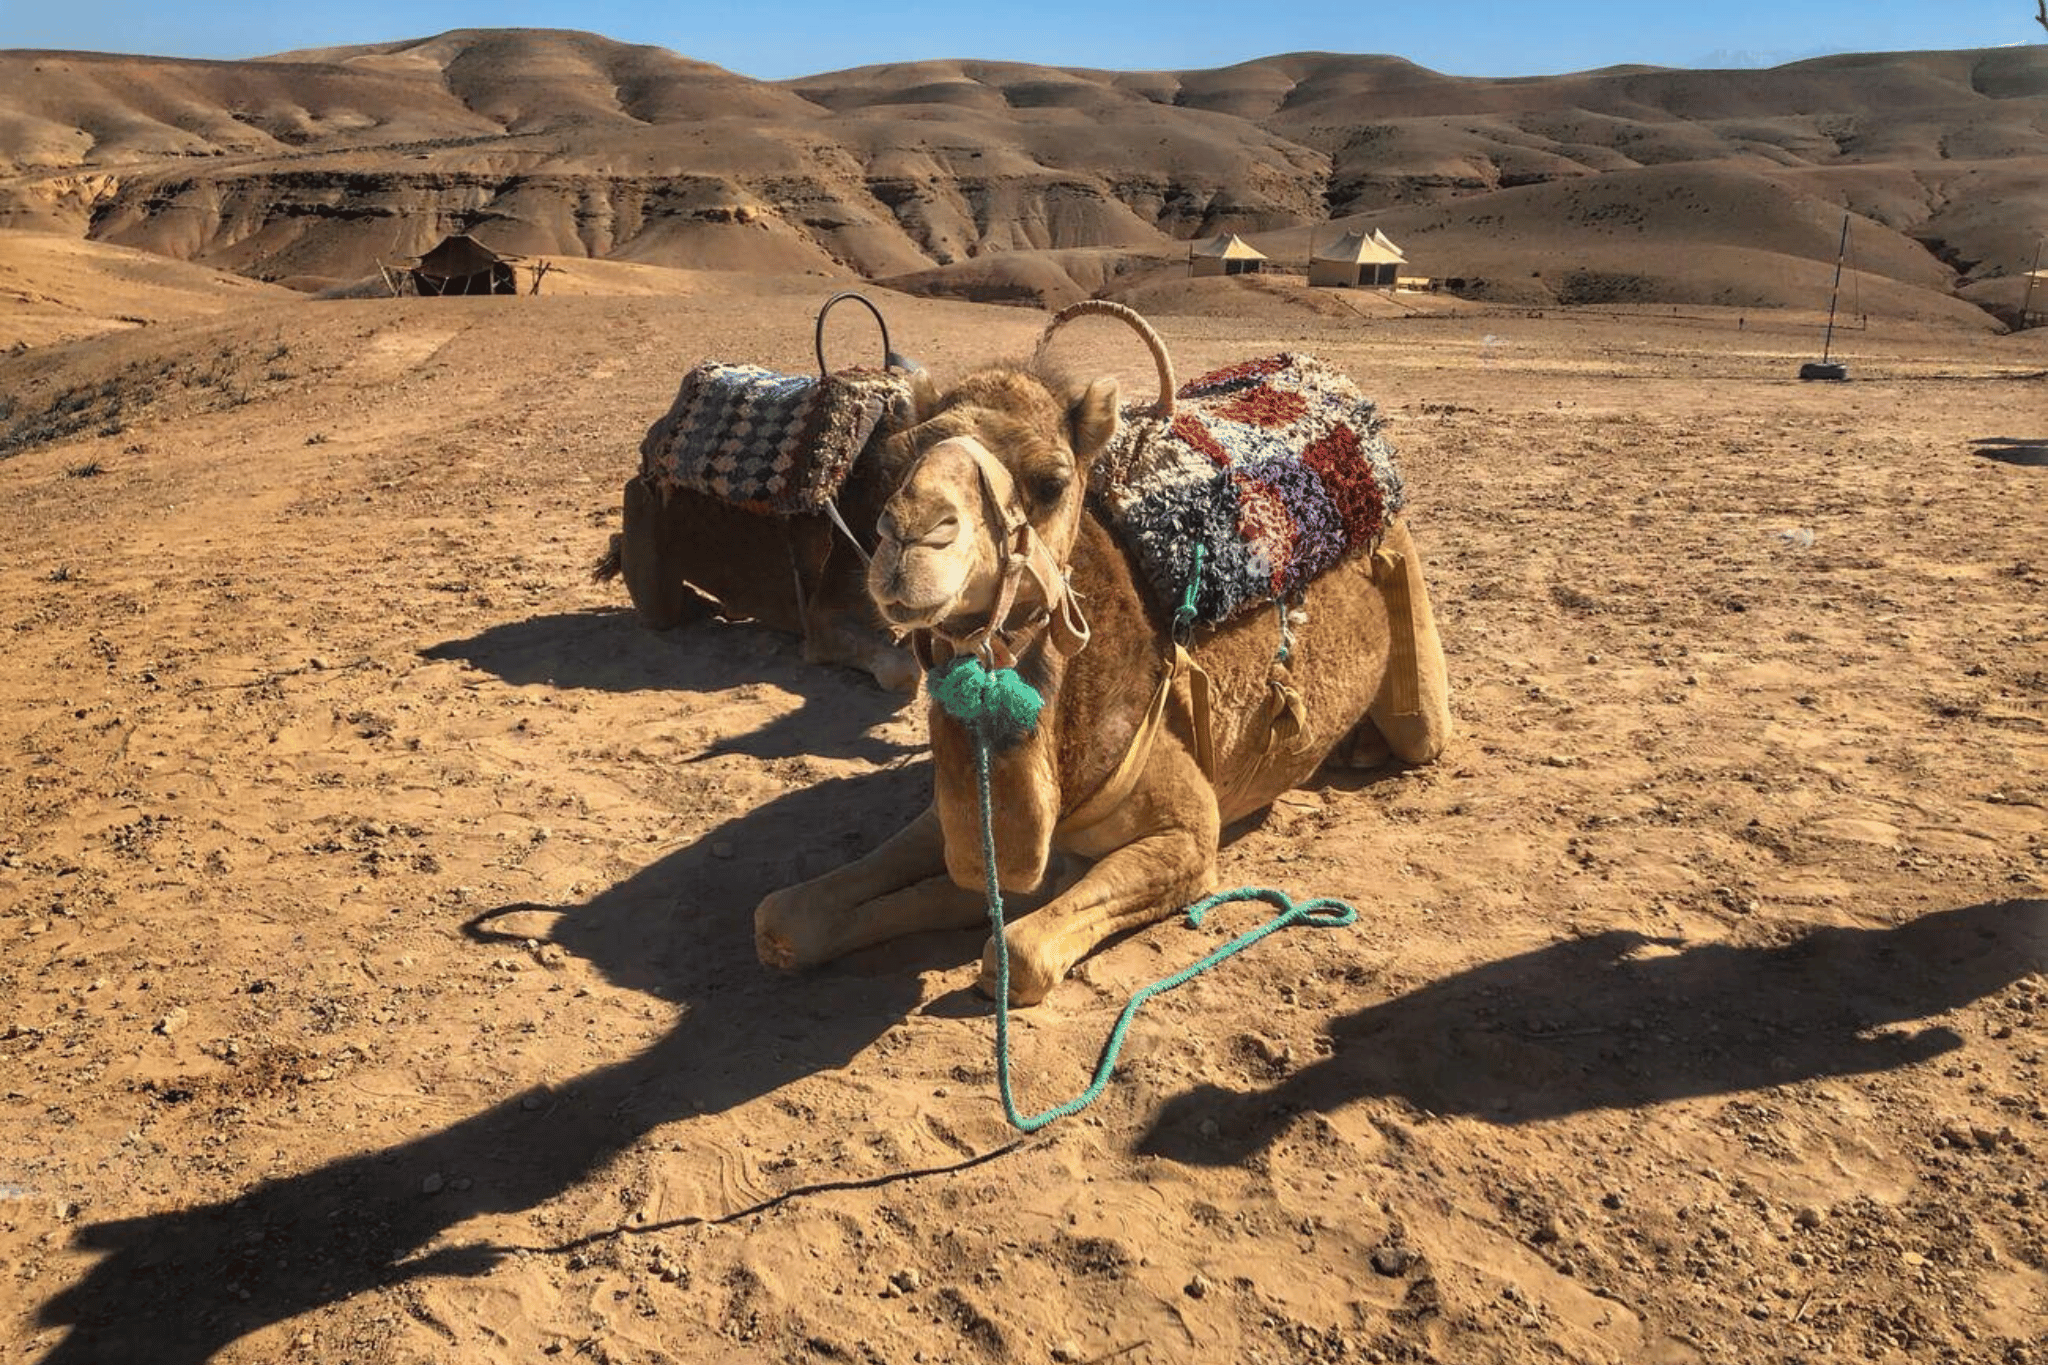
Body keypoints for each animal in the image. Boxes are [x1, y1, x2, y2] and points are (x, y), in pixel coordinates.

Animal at [755, 308, 1452, 1004]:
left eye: (1051, 483)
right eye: (897, 462)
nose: (909, 537)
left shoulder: (1187, 837)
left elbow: (1015, 952)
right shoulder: (950, 824)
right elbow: (786, 914)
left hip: (1410, 620)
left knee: (1423, 731)